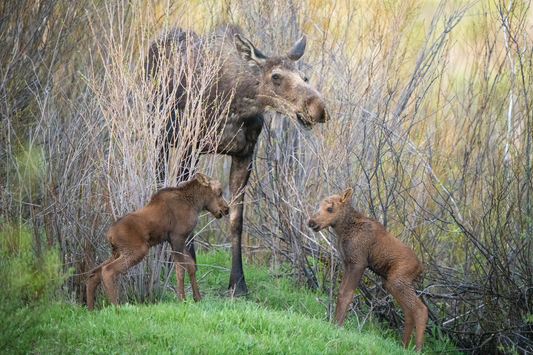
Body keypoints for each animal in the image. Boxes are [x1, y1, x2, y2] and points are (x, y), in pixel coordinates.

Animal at [86, 175, 228, 312]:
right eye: (220, 193)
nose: (227, 209)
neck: (195, 204)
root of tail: (109, 235)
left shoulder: (179, 240)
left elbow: (191, 265)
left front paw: (197, 298)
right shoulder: (177, 237)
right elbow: (180, 270)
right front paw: (182, 300)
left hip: (117, 252)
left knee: (94, 273)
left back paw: (91, 309)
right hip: (137, 251)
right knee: (107, 270)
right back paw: (116, 308)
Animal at [145, 24, 328, 298]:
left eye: (304, 78)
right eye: (275, 76)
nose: (318, 108)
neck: (237, 105)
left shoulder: (245, 154)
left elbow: (236, 221)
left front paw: (238, 284)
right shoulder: (189, 147)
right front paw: (184, 267)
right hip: (160, 139)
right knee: (159, 183)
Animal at [306, 188, 426, 352]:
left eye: (330, 209)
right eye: (319, 206)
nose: (311, 222)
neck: (343, 231)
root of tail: (420, 268)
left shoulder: (359, 263)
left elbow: (347, 295)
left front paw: (338, 326)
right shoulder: (347, 263)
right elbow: (340, 293)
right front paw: (334, 323)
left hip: (398, 281)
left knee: (421, 310)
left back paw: (417, 349)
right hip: (391, 283)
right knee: (409, 312)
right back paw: (403, 347)